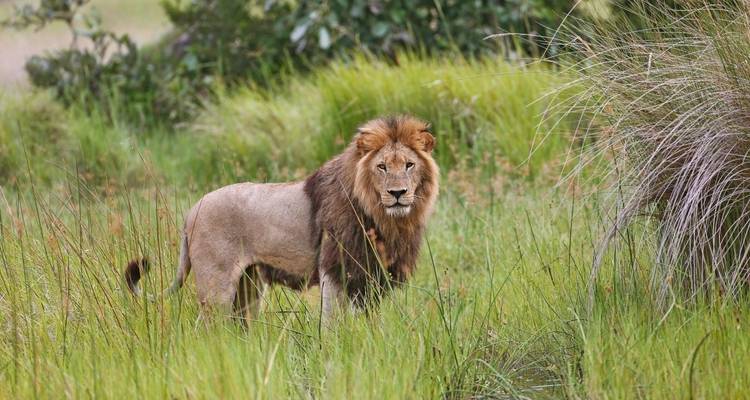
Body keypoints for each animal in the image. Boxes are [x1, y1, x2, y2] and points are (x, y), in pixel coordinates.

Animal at [125, 115, 439, 321]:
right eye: (382, 167)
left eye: (409, 165)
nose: (397, 193)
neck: (384, 217)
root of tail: (191, 211)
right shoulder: (334, 269)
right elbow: (332, 323)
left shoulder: (370, 276)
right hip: (217, 287)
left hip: (248, 287)